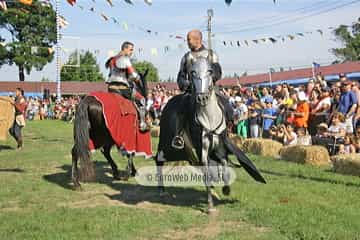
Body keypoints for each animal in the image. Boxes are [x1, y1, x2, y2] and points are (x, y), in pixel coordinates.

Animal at [155, 57, 268, 213]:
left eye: (209, 71)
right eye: (192, 72)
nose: (202, 98)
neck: (209, 117)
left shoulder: (219, 147)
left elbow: (224, 164)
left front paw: (226, 189)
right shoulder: (202, 149)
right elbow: (208, 171)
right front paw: (210, 206)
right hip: (166, 143)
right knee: (159, 159)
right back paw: (161, 189)